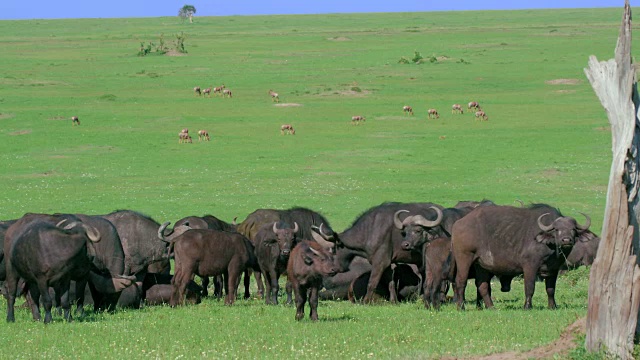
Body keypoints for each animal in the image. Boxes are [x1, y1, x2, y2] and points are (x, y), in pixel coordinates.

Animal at [450, 202, 596, 310]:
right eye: (557, 229)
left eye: (573, 229)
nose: (566, 240)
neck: (550, 246)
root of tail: (459, 223)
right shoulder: (530, 266)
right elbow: (530, 287)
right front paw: (527, 306)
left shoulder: (553, 269)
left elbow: (550, 289)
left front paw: (552, 306)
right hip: (464, 257)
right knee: (460, 281)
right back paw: (461, 307)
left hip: (481, 265)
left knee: (482, 285)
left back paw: (491, 307)